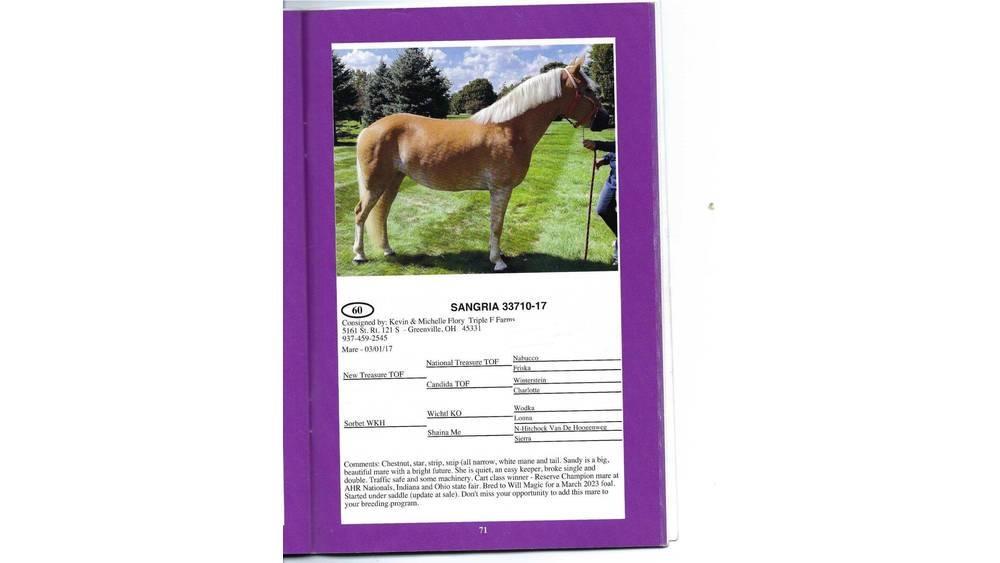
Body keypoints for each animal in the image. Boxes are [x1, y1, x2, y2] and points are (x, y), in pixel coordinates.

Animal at [351, 56, 610, 272]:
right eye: (588, 90)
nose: (605, 120)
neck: (509, 128)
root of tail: (369, 129)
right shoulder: (501, 189)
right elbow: (497, 225)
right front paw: (498, 262)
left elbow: (496, 224)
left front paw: (498, 255)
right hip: (375, 182)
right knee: (361, 213)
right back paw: (359, 255)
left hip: (393, 180)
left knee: (382, 213)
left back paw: (387, 250)